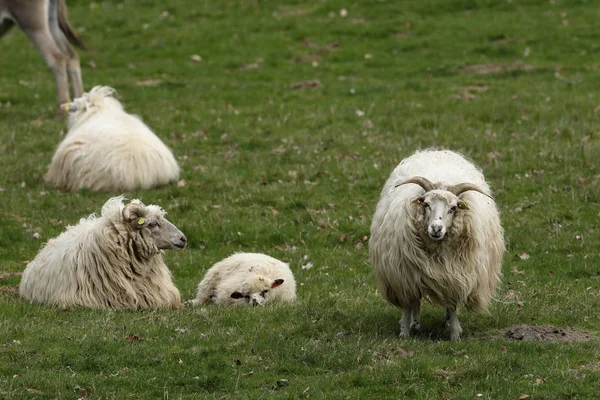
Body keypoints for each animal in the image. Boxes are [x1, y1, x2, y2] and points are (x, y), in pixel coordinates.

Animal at [368, 150, 504, 340]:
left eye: (454, 208)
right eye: (425, 204)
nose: (436, 228)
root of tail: (436, 151)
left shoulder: (455, 275)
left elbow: (452, 305)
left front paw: (454, 333)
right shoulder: (403, 275)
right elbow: (408, 304)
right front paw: (405, 331)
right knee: (415, 301)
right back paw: (415, 323)